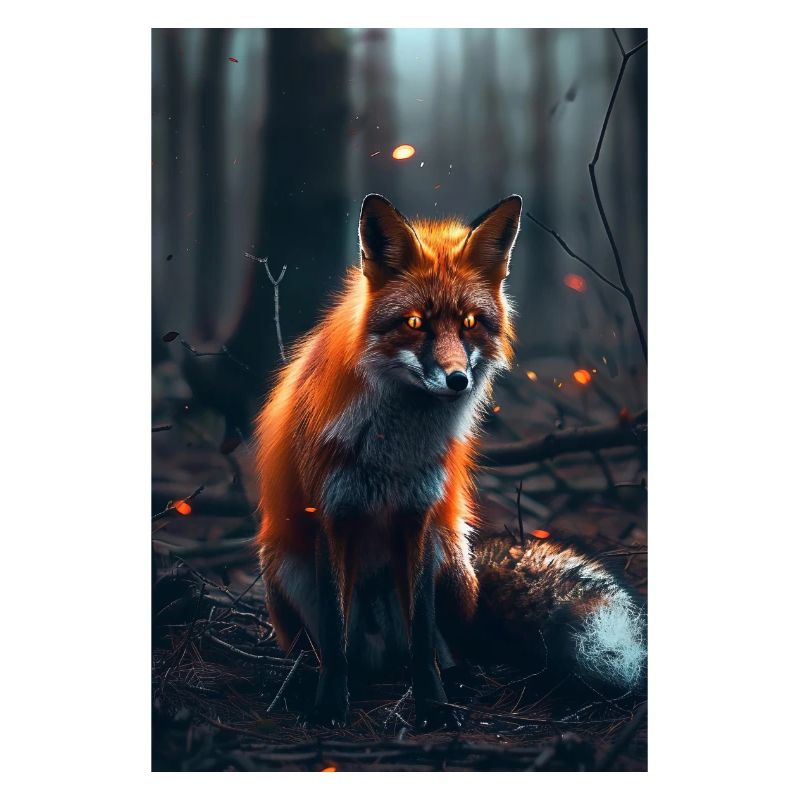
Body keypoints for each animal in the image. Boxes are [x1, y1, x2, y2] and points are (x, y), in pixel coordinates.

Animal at [255, 194, 646, 730]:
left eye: (469, 324)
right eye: (414, 323)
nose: (457, 380)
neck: (394, 450)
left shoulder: (418, 516)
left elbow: (423, 638)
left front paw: (434, 706)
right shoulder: (332, 515)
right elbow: (334, 639)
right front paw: (331, 704)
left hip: (451, 560)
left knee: (444, 646)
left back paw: (459, 678)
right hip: (287, 569)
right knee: (335, 650)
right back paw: (306, 681)